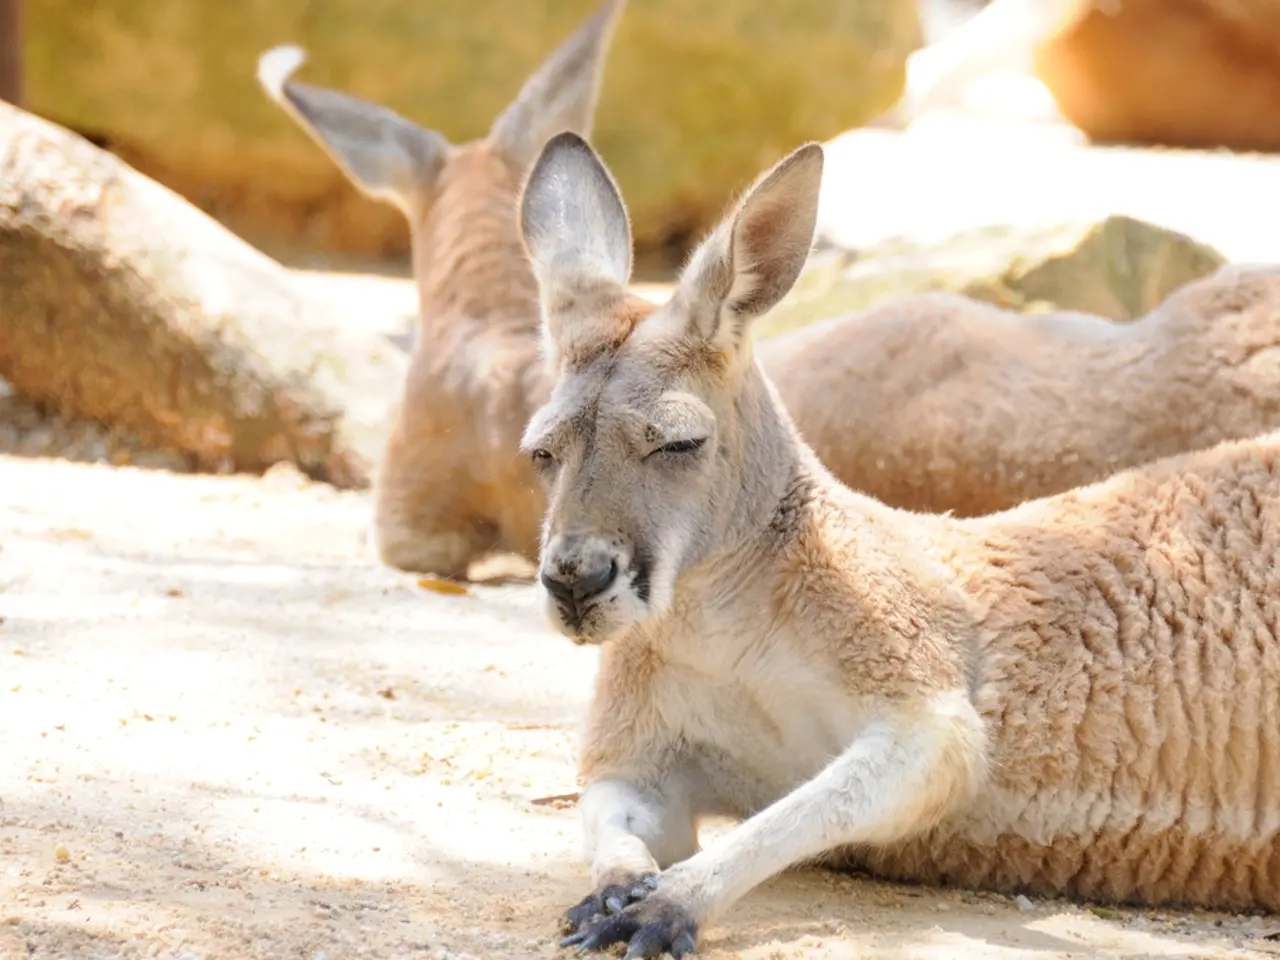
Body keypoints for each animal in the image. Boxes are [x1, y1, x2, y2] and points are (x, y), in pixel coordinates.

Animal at [516, 131, 1280, 958]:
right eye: (541, 454)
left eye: (680, 444)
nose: (575, 583)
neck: (715, 623)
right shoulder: (643, 741)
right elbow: (615, 808)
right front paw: (616, 888)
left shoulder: (910, 662)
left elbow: (885, 776)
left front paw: (666, 904)